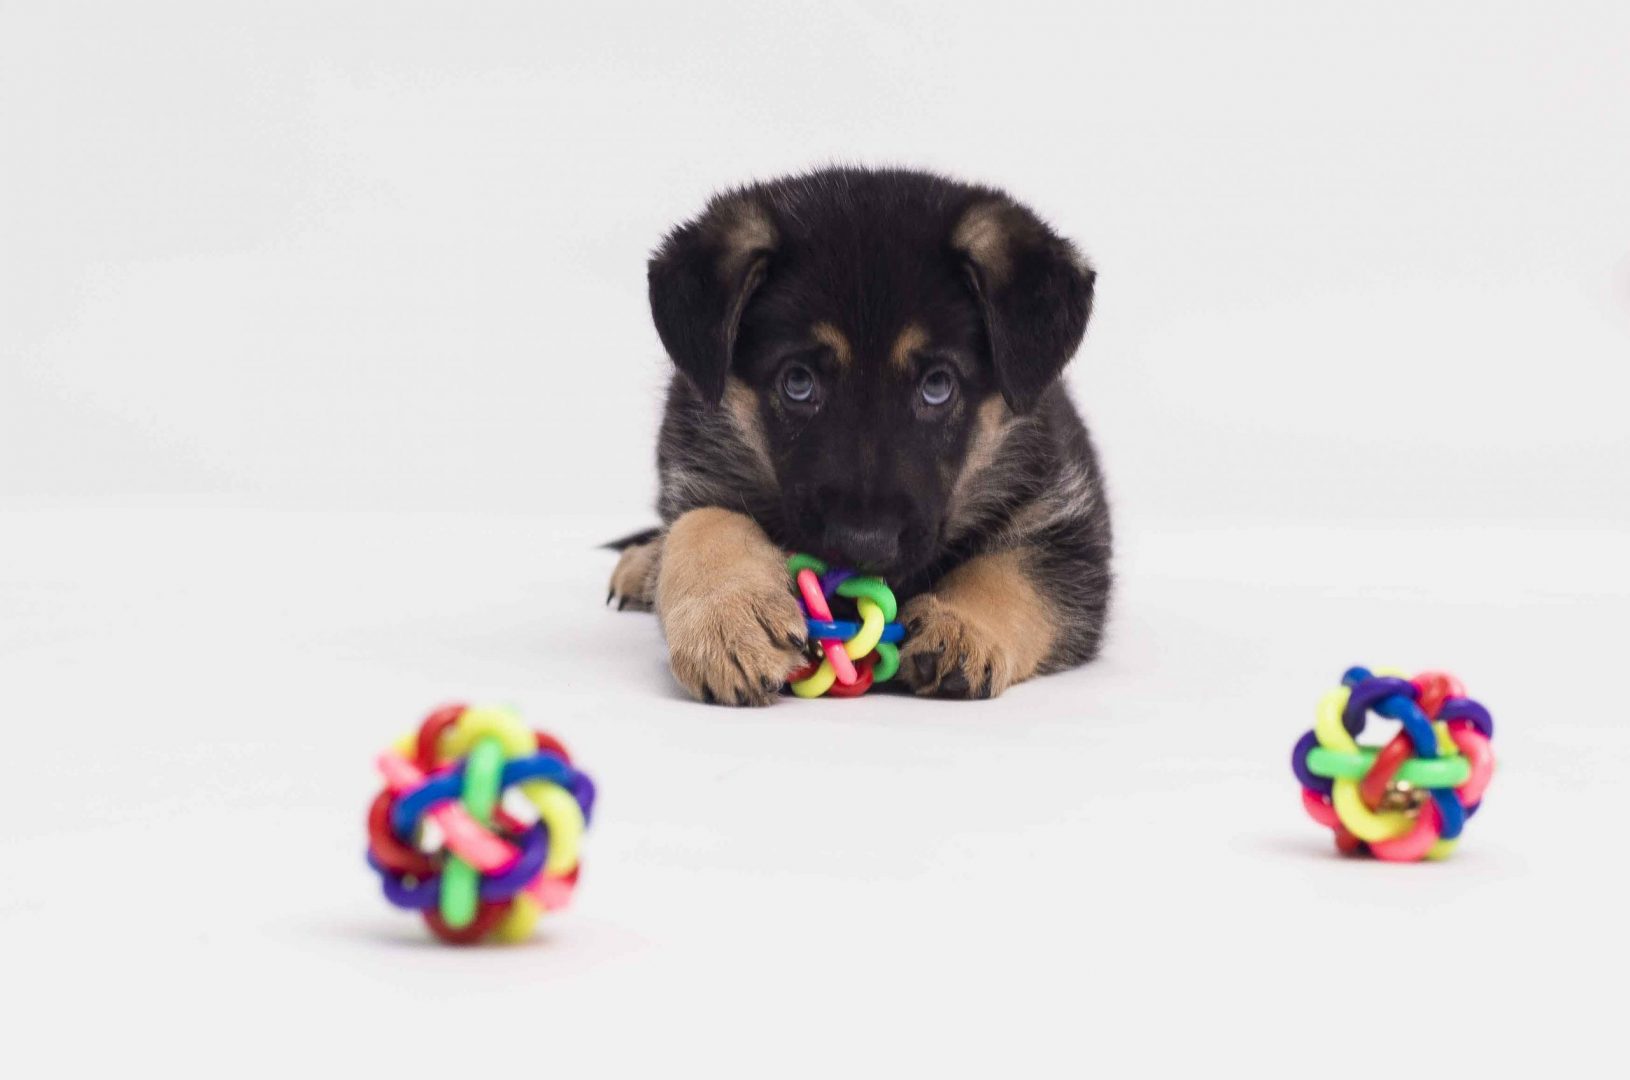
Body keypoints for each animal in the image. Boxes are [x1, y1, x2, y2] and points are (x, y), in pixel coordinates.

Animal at [606, 167, 1114, 706]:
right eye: (798, 382)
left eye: (937, 386)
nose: (863, 544)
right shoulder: (695, 469)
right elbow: (702, 523)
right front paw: (729, 616)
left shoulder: (1068, 520)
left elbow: (1018, 571)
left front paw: (963, 624)